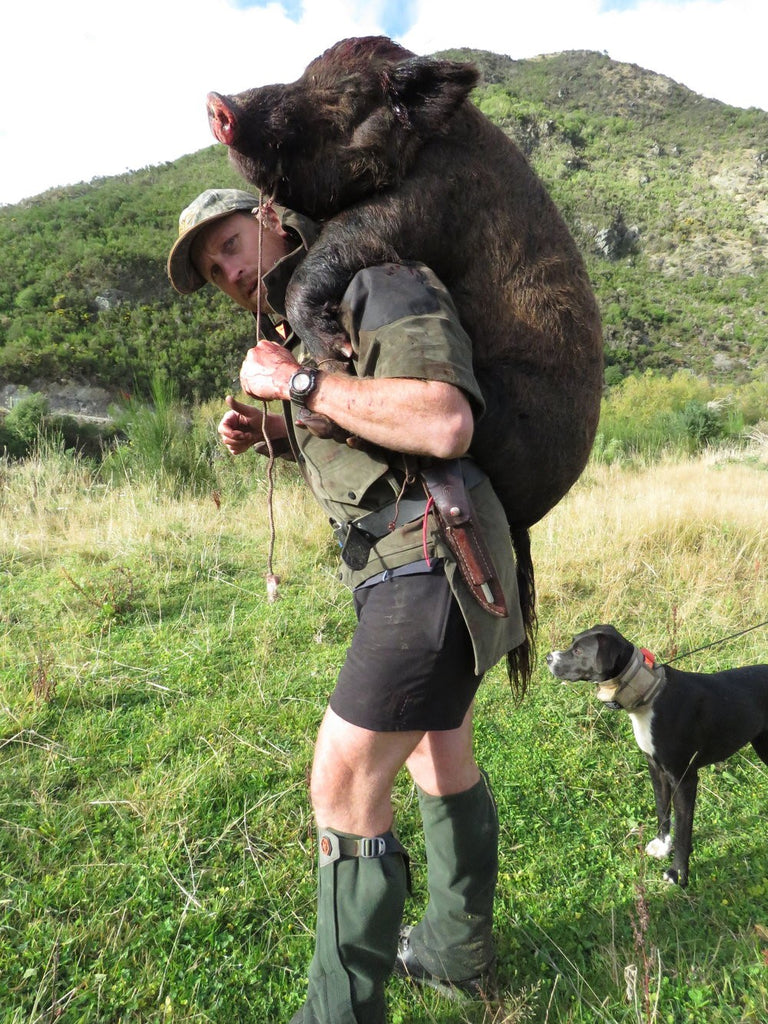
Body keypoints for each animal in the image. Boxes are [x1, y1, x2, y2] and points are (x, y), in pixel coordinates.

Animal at [548, 622, 768, 888]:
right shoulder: (656, 768)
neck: (651, 695)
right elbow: (662, 810)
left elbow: (684, 829)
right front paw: (663, 847)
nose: (548, 658)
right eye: (573, 644)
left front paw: (678, 874)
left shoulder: (684, 778)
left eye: (579, 651)